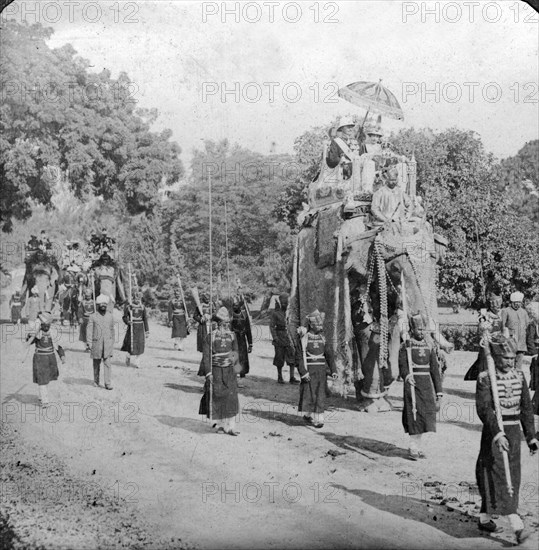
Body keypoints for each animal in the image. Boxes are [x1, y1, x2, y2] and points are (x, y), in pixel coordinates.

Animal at [288, 201, 450, 412]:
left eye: (435, 265)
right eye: (396, 268)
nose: (437, 405)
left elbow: (387, 325)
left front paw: (384, 392)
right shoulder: (355, 277)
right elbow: (367, 330)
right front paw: (375, 405)